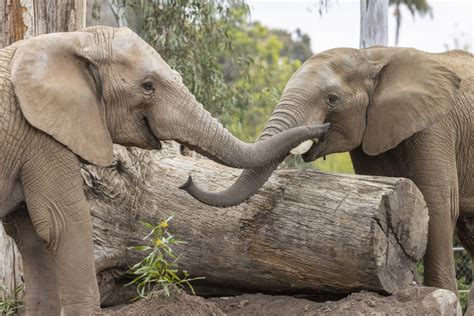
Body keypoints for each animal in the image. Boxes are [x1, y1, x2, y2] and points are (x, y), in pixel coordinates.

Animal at [0, 25, 330, 314]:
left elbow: (33, 236)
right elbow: (64, 225)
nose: (323, 130)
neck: (72, 39)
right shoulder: (41, 136)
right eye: (148, 87)